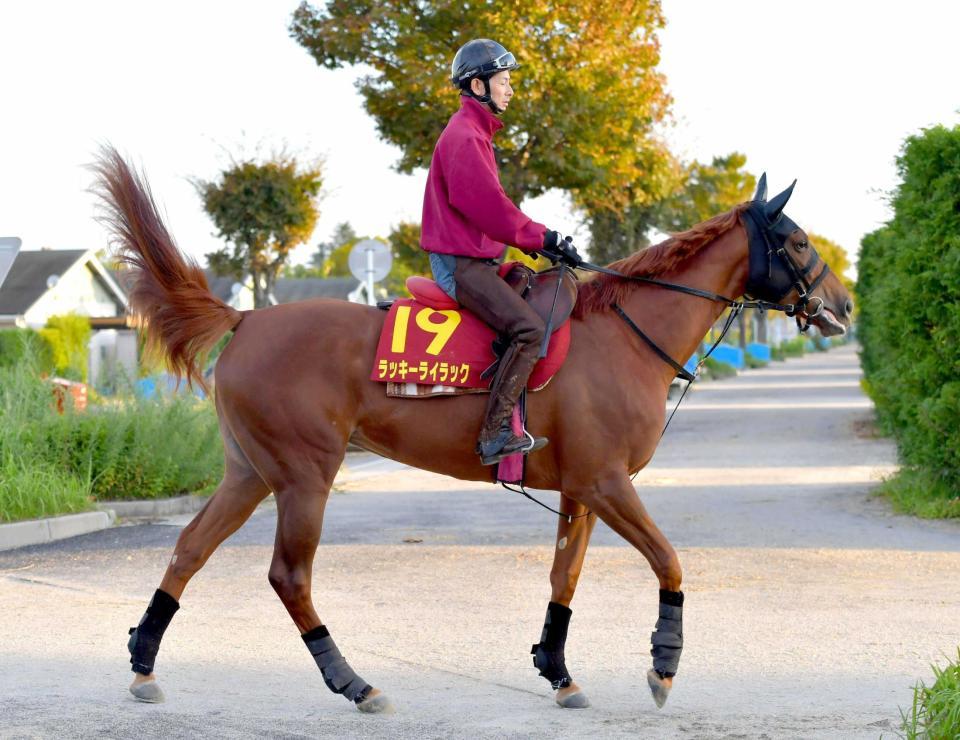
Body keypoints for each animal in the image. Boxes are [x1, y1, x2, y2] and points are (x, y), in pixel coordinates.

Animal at [94, 150, 852, 712]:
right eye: (796, 240)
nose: (842, 306)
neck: (623, 336)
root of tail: (247, 317)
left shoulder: (581, 490)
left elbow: (564, 578)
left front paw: (557, 670)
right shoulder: (607, 484)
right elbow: (669, 561)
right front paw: (663, 665)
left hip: (249, 473)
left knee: (188, 550)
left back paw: (143, 664)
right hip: (304, 476)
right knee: (290, 576)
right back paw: (353, 682)